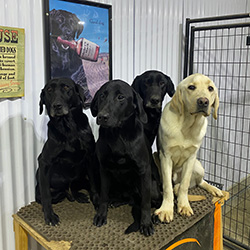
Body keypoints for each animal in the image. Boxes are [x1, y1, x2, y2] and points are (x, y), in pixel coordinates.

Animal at [36, 77, 98, 225]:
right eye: (49, 90)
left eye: (66, 88)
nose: (57, 106)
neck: (68, 127)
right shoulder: (44, 161)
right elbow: (46, 194)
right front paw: (50, 216)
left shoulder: (90, 157)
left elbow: (93, 184)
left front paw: (97, 203)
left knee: (74, 187)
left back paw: (78, 195)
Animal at [91, 80, 154, 236]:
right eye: (102, 95)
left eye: (121, 97)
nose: (102, 116)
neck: (117, 135)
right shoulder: (104, 170)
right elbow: (103, 196)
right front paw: (101, 215)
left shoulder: (144, 171)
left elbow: (145, 202)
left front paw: (146, 223)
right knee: (127, 198)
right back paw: (116, 201)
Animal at [155, 73, 224, 222]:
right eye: (191, 87)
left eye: (210, 88)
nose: (203, 101)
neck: (187, 125)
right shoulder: (165, 157)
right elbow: (167, 186)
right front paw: (166, 209)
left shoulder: (191, 158)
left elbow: (185, 185)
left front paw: (184, 205)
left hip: (198, 166)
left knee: (199, 182)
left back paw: (215, 189)